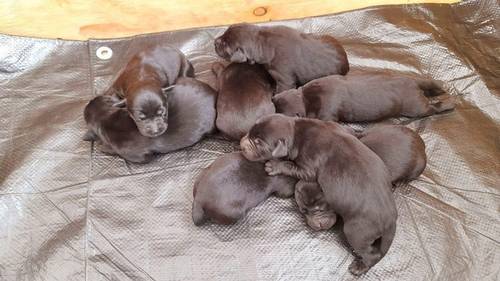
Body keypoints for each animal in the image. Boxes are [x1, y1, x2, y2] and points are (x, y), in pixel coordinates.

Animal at [240, 113, 396, 274]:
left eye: (258, 143)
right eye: (250, 133)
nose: (241, 144)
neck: (296, 130)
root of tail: (390, 220)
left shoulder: (308, 166)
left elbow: (291, 166)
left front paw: (274, 165)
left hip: (356, 231)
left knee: (371, 253)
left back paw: (359, 267)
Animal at [272, 71, 456, 121]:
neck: (305, 98)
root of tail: (414, 84)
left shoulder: (327, 113)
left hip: (416, 107)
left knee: (433, 107)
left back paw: (450, 102)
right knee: (430, 85)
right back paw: (440, 86)